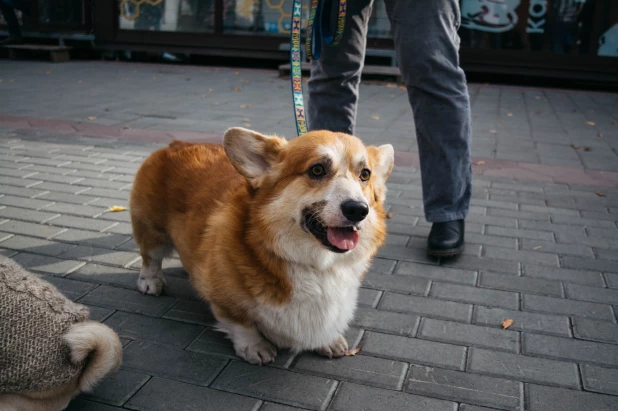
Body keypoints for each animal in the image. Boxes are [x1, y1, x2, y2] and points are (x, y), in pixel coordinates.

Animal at [128, 128, 392, 364]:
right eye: (317, 169)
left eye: (365, 174)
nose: (358, 209)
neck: (316, 264)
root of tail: (176, 144)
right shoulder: (228, 301)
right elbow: (241, 324)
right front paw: (255, 348)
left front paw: (329, 341)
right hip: (151, 230)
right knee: (150, 257)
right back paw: (151, 281)